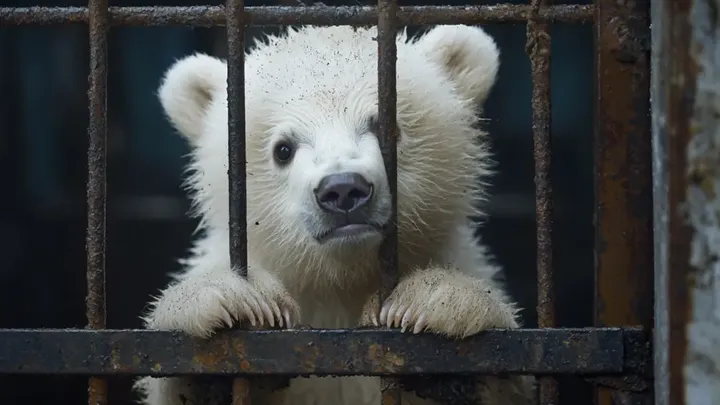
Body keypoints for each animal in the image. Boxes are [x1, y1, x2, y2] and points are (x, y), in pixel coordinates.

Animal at [133, 24, 534, 405]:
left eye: (387, 129)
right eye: (282, 149)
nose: (342, 189)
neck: (338, 287)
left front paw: (440, 303)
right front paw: (227, 310)